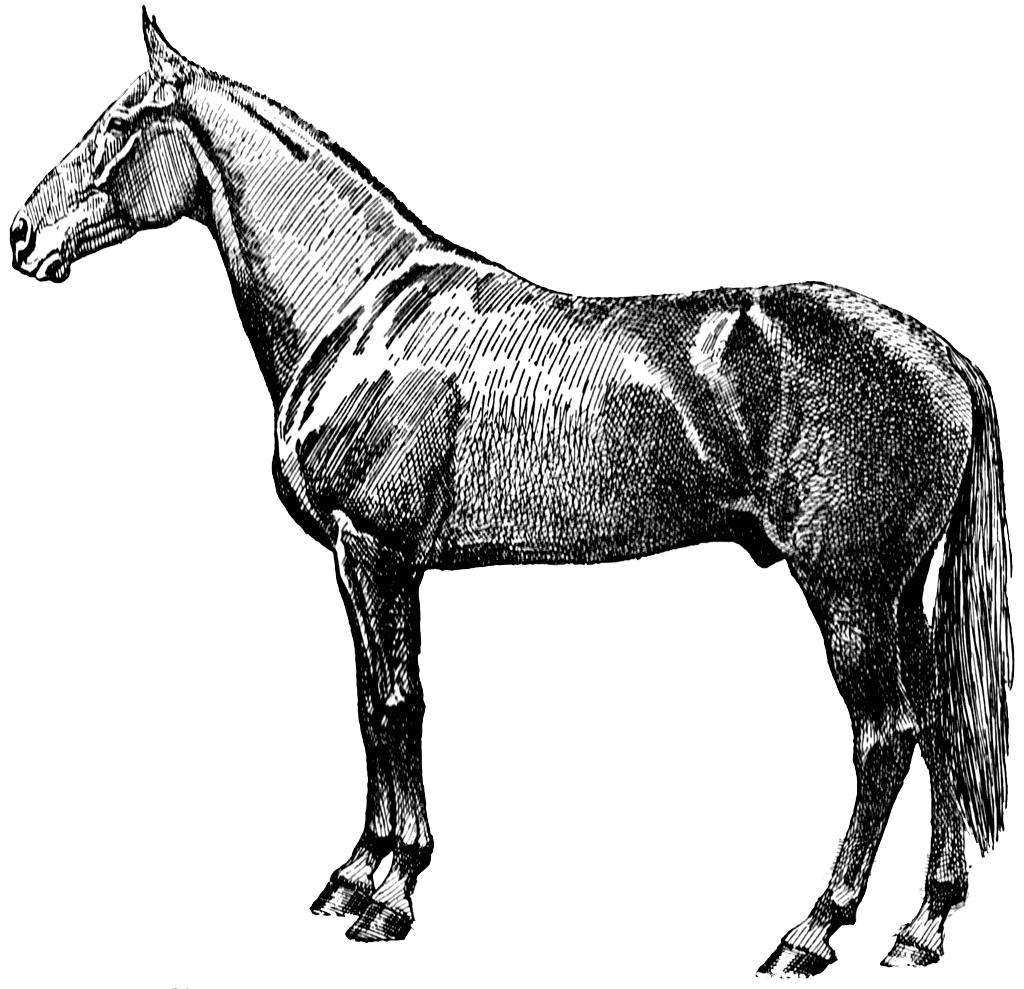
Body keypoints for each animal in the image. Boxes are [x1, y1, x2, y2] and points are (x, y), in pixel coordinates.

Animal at [10, 10, 1012, 974]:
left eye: (122, 123)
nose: (23, 235)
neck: (363, 310)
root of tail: (944, 358)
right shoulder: (355, 561)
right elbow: (369, 702)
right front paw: (354, 872)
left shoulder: (376, 550)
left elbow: (398, 705)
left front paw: (393, 892)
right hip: (900, 596)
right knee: (943, 726)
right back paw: (923, 925)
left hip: (848, 592)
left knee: (886, 736)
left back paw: (814, 929)